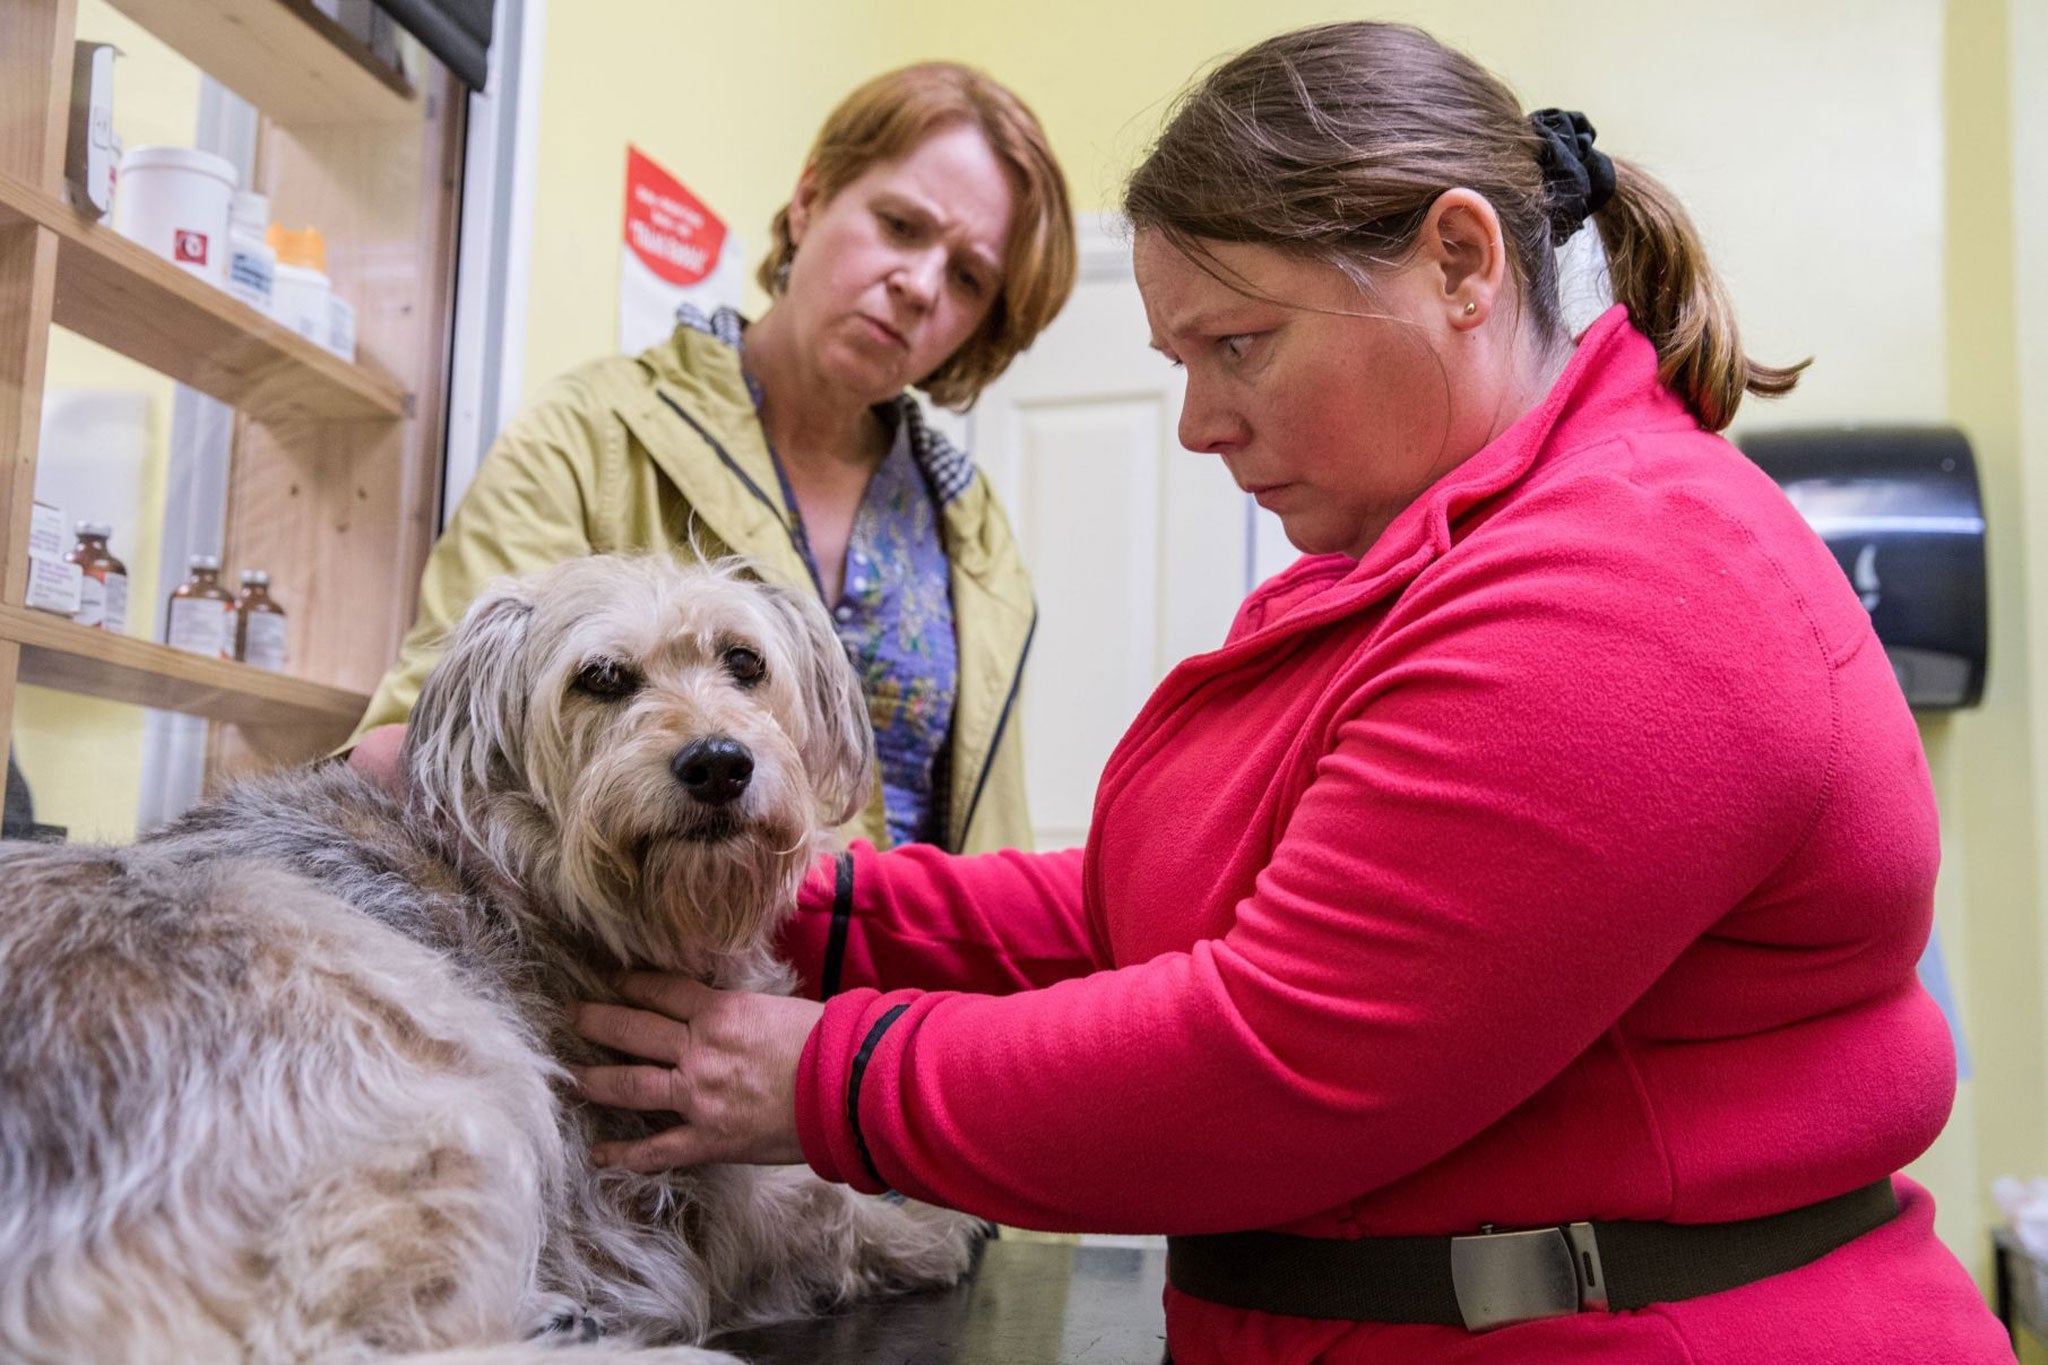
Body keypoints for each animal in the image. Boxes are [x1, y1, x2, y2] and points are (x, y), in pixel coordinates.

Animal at [0, 556, 983, 1365]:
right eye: (601, 677)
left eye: (745, 661)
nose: (718, 763)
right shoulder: (683, 1185)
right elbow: (817, 1205)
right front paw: (930, 1226)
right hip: (448, 1057)